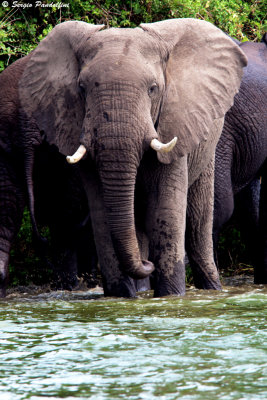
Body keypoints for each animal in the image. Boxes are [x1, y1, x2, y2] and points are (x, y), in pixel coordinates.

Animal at [11, 20, 247, 298]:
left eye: (153, 89)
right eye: (81, 89)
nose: (147, 264)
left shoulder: (173, 123)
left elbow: (165, 209)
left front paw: (170, 296)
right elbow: (102, 213)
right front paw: (121, 296)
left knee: (198, 222)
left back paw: (211, 288)